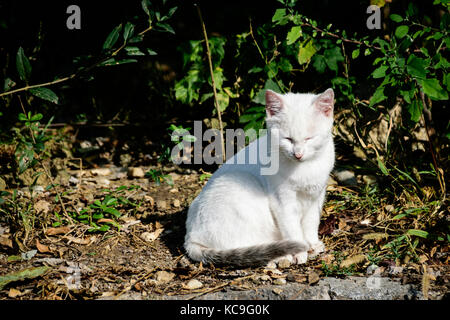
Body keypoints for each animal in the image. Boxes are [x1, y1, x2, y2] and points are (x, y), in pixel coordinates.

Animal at [185, 89, 336, 266]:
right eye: (288, 139)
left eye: (309, 138)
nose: (298, 154)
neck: (305, 168)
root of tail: (190, 237)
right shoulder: (283, 201)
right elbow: (292, 227)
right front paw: (300, 251)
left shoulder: (316, 196)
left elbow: (311, 222)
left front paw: (312, 243)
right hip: (241, 185)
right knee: (249, 246)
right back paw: (280, 256)